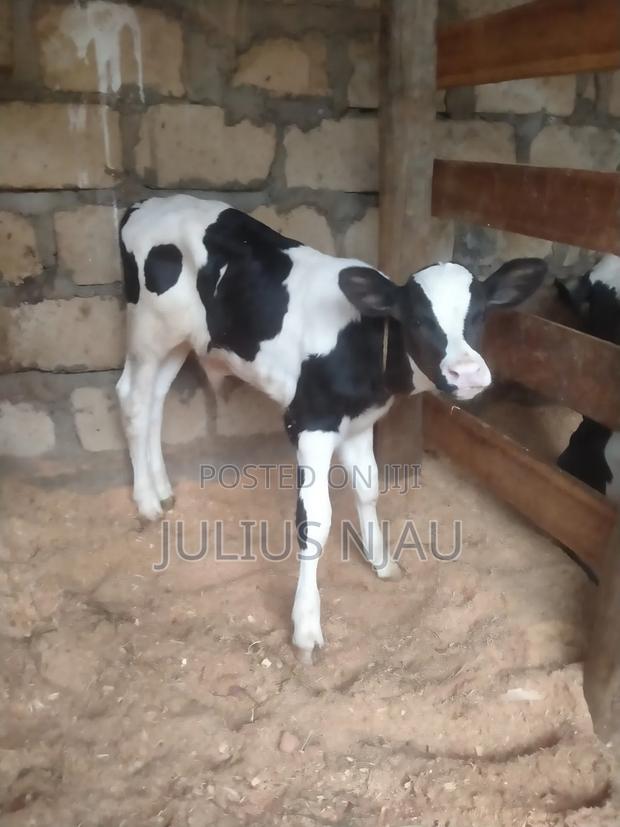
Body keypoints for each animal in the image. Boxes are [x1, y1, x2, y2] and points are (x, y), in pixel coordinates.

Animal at [117, 194, 546, 659]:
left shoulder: (358, 425)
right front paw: (306, 625)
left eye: (481, 315)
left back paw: (162, 489)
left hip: (179, 341)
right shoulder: (310, 423)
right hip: (147, 333)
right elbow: (315, 518)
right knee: (133, 398)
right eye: (416, 320)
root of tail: (147, 202)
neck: (362, 341)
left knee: (156, 400)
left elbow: (369, 489)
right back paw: (145, 501)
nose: (466, 374)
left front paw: (382, 562)